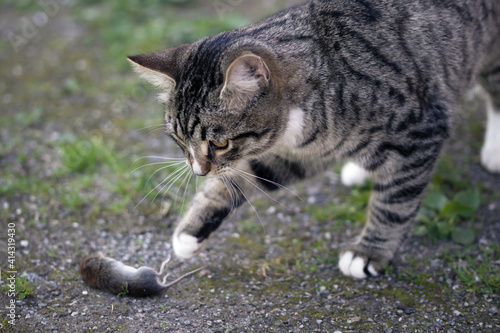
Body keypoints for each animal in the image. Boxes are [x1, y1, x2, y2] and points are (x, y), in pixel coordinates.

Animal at [129, 0, 500, 278]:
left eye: (220, 144)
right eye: (179, 141)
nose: (197, 170)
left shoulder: (420, 130)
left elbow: (394, 203)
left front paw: (369, 252)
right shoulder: (301, 151)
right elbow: (240, 179)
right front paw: (190, 231)